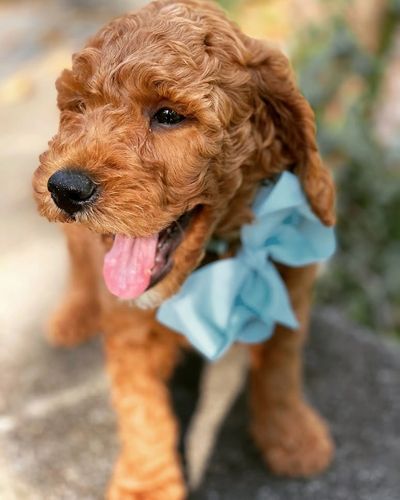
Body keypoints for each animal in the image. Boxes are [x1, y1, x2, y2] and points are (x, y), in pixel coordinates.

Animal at [33, 1, 334, 498]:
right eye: (79, 107)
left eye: (169, 115)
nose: (65, 188)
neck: (214, 259)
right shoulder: (130, 328)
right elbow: (143, 411)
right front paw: (146, 485)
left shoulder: (289, 286)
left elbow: (280, 371)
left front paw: (293, 439)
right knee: (77, 260)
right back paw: (73, 315)